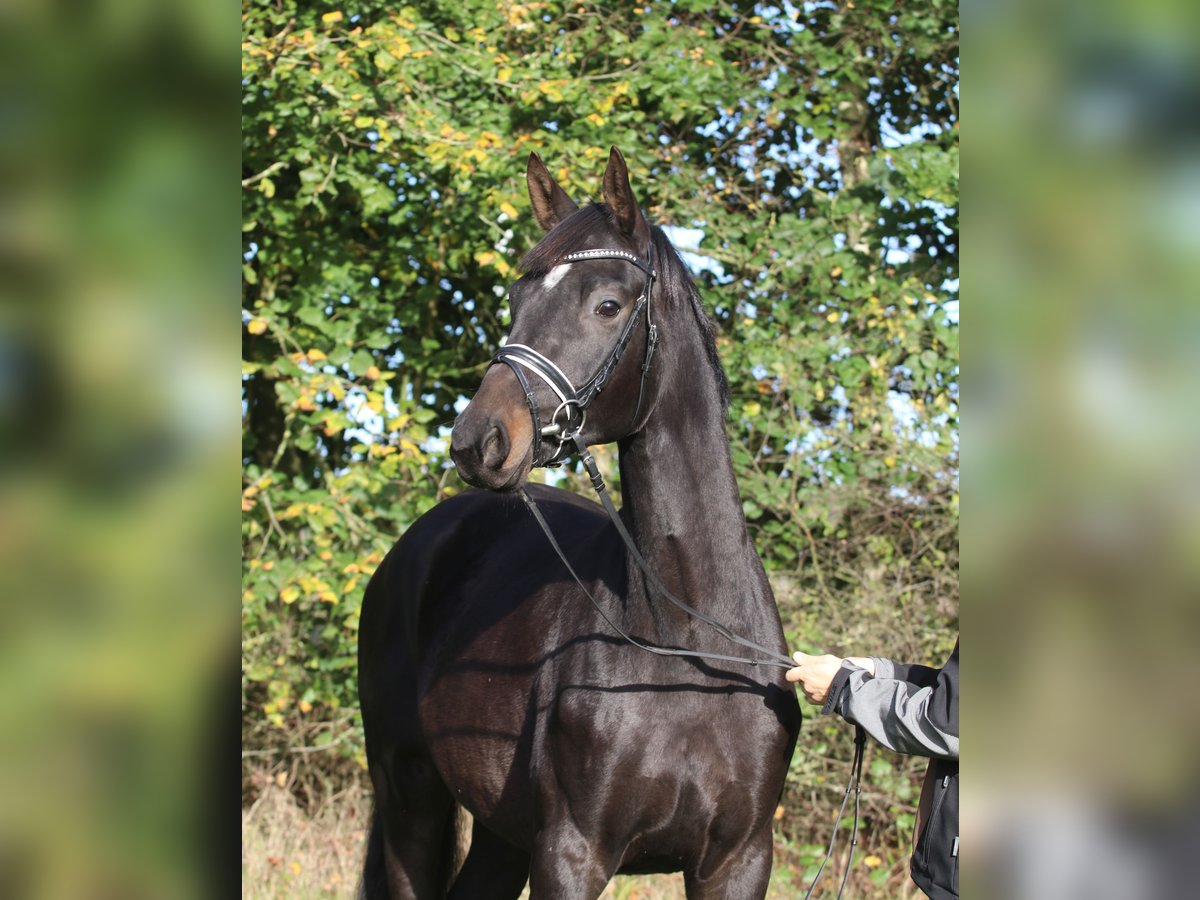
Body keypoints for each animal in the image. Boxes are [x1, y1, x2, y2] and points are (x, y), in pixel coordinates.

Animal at [360, 150, 801, 900]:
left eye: (608, 306)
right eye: (517, 301)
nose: (479, 441)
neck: (687, 646)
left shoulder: (739, 860)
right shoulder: (572, 852)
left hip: (501, 834)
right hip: (408, 795)